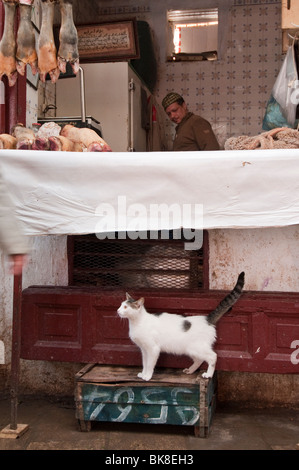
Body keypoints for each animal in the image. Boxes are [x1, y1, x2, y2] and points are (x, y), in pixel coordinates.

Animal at [117, 272, 246, 382]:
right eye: (120, 305)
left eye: (125, 307)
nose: (117, 310)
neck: (138, 322)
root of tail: (207, 319)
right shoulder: (144, 349)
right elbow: (144, 363)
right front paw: (143, 374)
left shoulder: (153, 349)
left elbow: (149, 364)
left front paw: (147, 376)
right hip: (191, 349)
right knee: (199, 359)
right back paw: (190, 370)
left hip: (198, 348)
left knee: (213, 357)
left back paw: (208, 374)